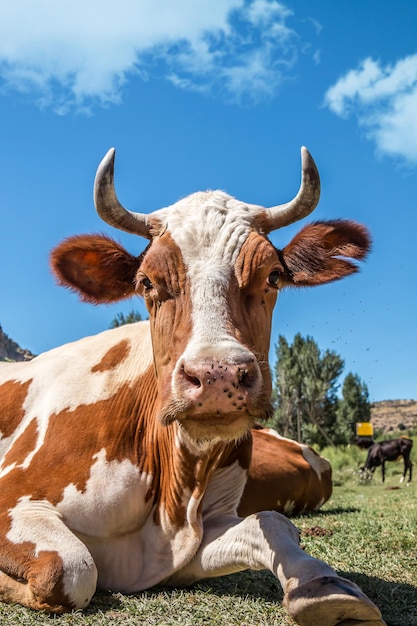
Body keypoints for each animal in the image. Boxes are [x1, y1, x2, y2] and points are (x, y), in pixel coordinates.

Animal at [0, 147, 384, 624]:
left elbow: (272, 524)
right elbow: (70, 569)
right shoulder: (13, 496)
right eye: (147, 282)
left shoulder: (193, 539)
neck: (172, 495)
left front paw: (322, 585)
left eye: (273, 276)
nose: (217, 375)